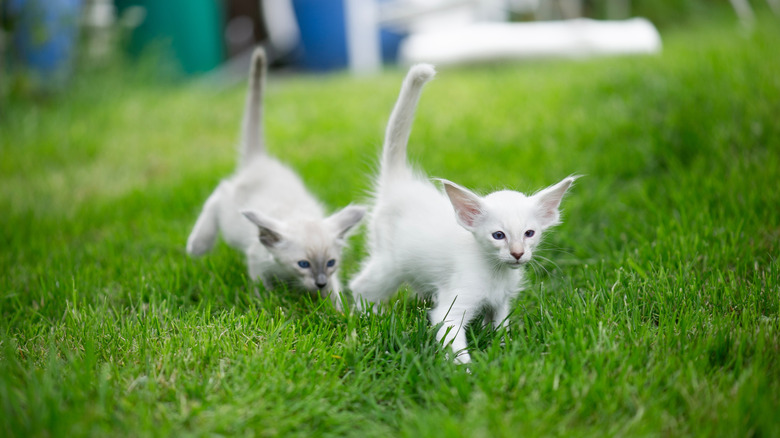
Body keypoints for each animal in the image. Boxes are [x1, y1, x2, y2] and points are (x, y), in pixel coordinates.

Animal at [187, 47, 366, 312]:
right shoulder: (256, 259)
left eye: (331, 262)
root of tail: (259, 159)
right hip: (230, 222)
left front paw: (342, 314)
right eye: (303, 264)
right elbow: (261, 290)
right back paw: (198, 245)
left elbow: (335, 295)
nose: (320, 283)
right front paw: (265, 306)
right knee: (218, 194)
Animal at [350, 63, 576, 364]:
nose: (517, 254)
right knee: (359, 285)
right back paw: (366, 317)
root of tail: (400, 183)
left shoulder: (501, 300)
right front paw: (470, 371)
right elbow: (454, 341)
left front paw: (504, 350)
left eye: (529, 233)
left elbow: (500, 326)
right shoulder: (452, 307)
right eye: (498, 235)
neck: (495, 273)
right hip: (389, 264)